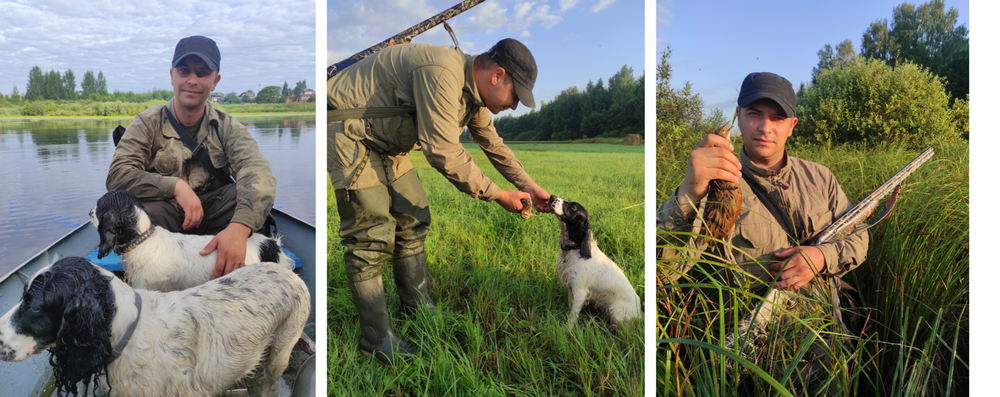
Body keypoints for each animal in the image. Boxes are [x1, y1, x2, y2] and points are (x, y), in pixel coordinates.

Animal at [548, 194, 640, 328]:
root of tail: (641, 313)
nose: (551, 196)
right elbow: (570, 305)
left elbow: (572, 316)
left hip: (616, 314)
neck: (575, 250)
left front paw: (567, 330)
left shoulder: (580, 292)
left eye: (573, 207)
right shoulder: (571, 285)